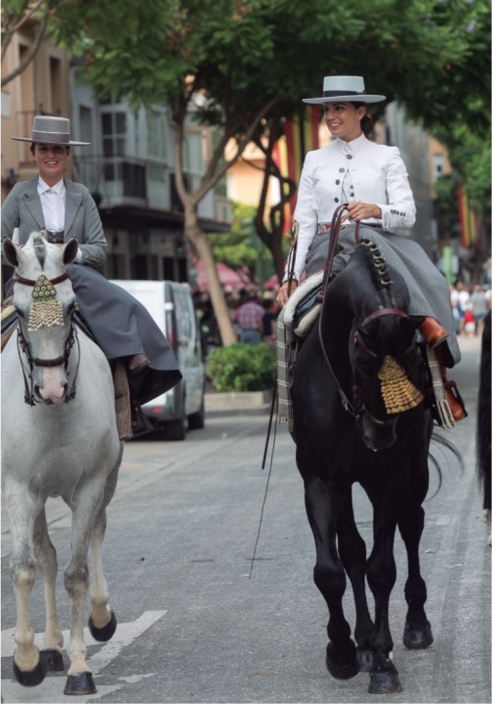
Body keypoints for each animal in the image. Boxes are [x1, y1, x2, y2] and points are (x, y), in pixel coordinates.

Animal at [1, 232, 124, 692]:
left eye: (72, 307)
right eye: (20, 311)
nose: (52, 388)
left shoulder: (90, 486)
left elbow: (76, 574)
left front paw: (79, 667)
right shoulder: (18, 489)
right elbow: (24, 568)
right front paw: (27, 659)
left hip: (105, 482)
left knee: (95, 533)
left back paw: (100, 617)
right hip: (36, 496)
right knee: (46, 556)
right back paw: (50, 646)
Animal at [290, 238, 436, 692]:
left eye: (414, 362)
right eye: (364, 359)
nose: (381, 436)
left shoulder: (390, 475)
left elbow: (382, 567)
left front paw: (385, 662)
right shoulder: (321, 479)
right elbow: (332, 570)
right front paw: (342, 651)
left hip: (413, 469)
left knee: (411, 524)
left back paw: (413, 626)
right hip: (347, 481)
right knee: (352, 550)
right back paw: (364, 642)